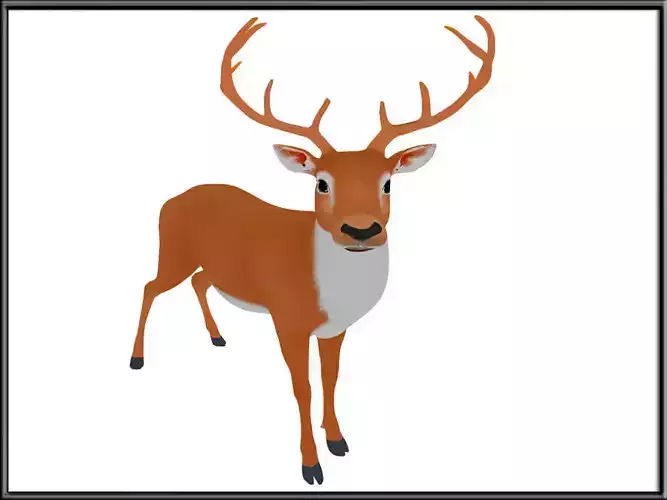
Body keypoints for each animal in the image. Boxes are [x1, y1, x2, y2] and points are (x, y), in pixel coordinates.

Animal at [129, 15, 495, 485]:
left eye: (387, 183)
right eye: (321, 182)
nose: (361, 229)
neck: (328, 290)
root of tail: (170, 199)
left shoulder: (335, 328)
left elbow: (332, 378)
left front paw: (337, 439)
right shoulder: (287, 319)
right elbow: (301, 387)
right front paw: (311, 464)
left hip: (212, 266)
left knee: (198, 282)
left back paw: (217, 337)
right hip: (171, 251)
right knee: (149, 286)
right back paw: (137, 358)